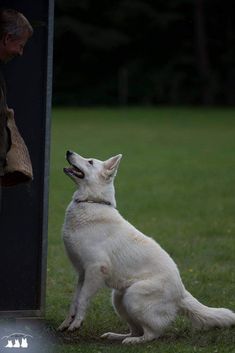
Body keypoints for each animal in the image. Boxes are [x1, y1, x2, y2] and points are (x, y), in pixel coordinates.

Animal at [58, 151, 235, 344]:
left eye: (90, 162)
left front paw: (76, 324)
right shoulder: (82, 273)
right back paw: (117, 336)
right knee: (136, 329)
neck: (92, 202)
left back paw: (134, 341)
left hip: (133, 296)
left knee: (152, 333)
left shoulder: (95, 269)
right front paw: (67, 323)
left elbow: (82, 300)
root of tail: (182, 293)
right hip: (118, 298)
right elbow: (74, 301)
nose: (68, 152)